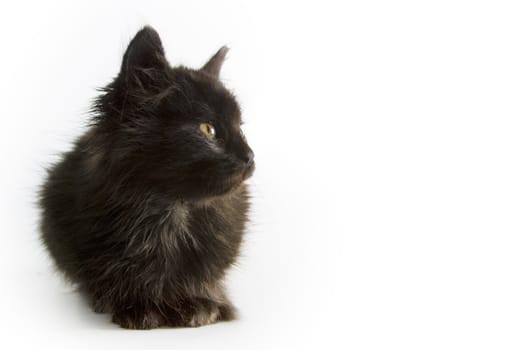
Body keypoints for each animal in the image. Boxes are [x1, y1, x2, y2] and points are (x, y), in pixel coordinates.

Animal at [38, 26, 254, 330]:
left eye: (241, 128)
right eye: (207, 129)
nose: (250, 156)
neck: (171, 213)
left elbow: (202, 277)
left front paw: (200, 305)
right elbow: (117, 275)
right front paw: (138, 308)